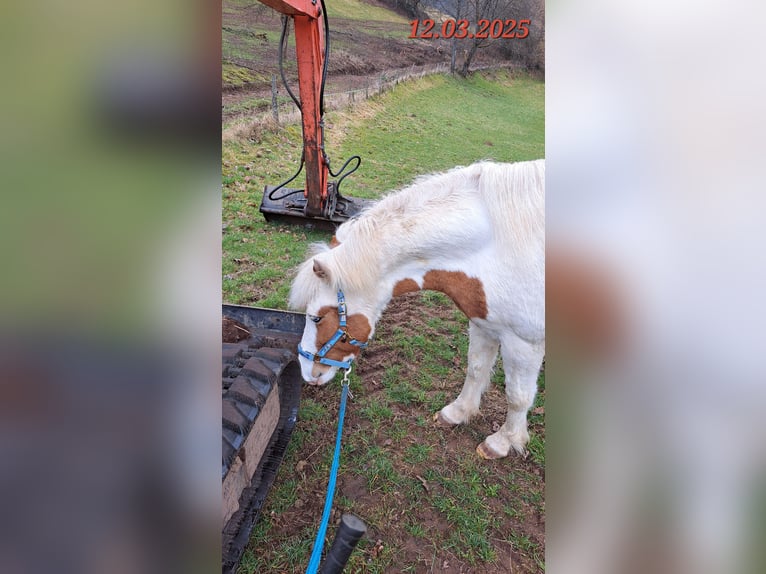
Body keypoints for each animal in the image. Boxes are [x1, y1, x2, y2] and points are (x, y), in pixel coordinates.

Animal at [288, 160, 545, 459]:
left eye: (317, 317)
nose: (308, 372)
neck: (496, 247)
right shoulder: (484, 323)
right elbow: (476, 369)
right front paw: (458, 413)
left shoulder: (524, 342)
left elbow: (517, 396)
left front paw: (504, 441)